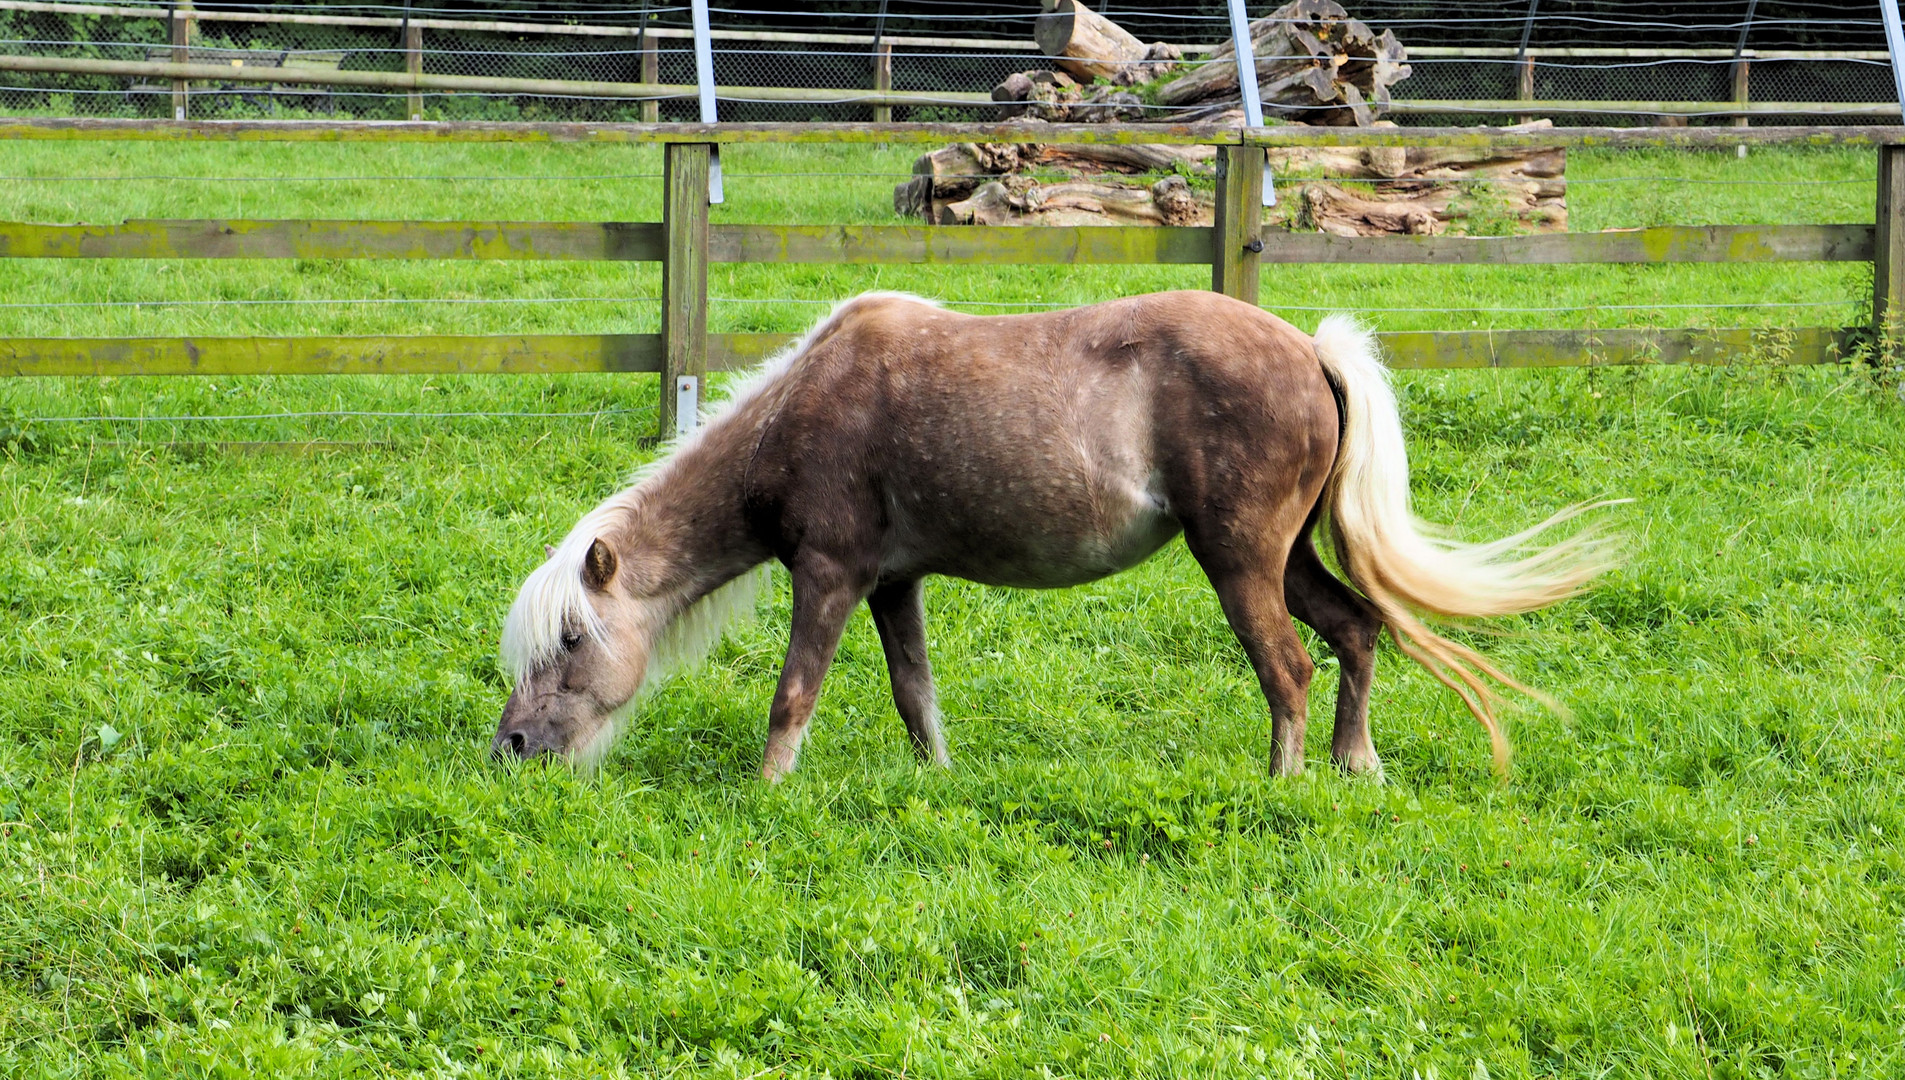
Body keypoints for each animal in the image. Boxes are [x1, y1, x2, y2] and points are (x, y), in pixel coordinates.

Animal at [491, 291, 1607, 780]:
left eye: (572, 638)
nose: (511, 747)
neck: (803, 410)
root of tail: (1308, 348)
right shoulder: (894, 585)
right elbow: (914, 693)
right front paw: (936, 780)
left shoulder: (831, 575)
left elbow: (793, 693)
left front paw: (767, 794)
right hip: (1286, 558)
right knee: (1357, 633)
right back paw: (1354, 766)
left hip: (1241, 561)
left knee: (1289, 668)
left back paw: (1285, 787)